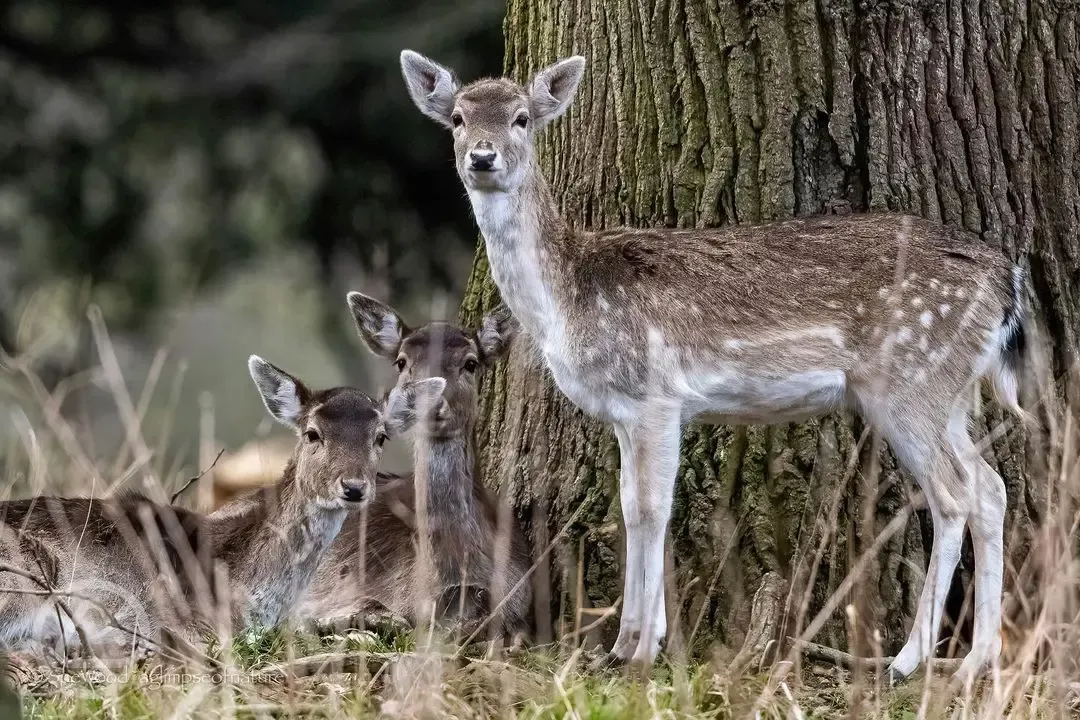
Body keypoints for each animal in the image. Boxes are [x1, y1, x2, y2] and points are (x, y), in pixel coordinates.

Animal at [399, 47, 1028, 686]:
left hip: (908, 379)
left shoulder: (658, 395)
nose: (482, 156)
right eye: (457, 117)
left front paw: (645, 649)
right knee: (991, 487)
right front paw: (621, 643)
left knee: (953, 493)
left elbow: (653, 508)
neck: (565, 303)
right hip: (949, 391)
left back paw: (906, 660)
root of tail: (1003, 282)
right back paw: (977, 659)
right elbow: (628, 507)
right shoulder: (623, 412)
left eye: (522, 118)